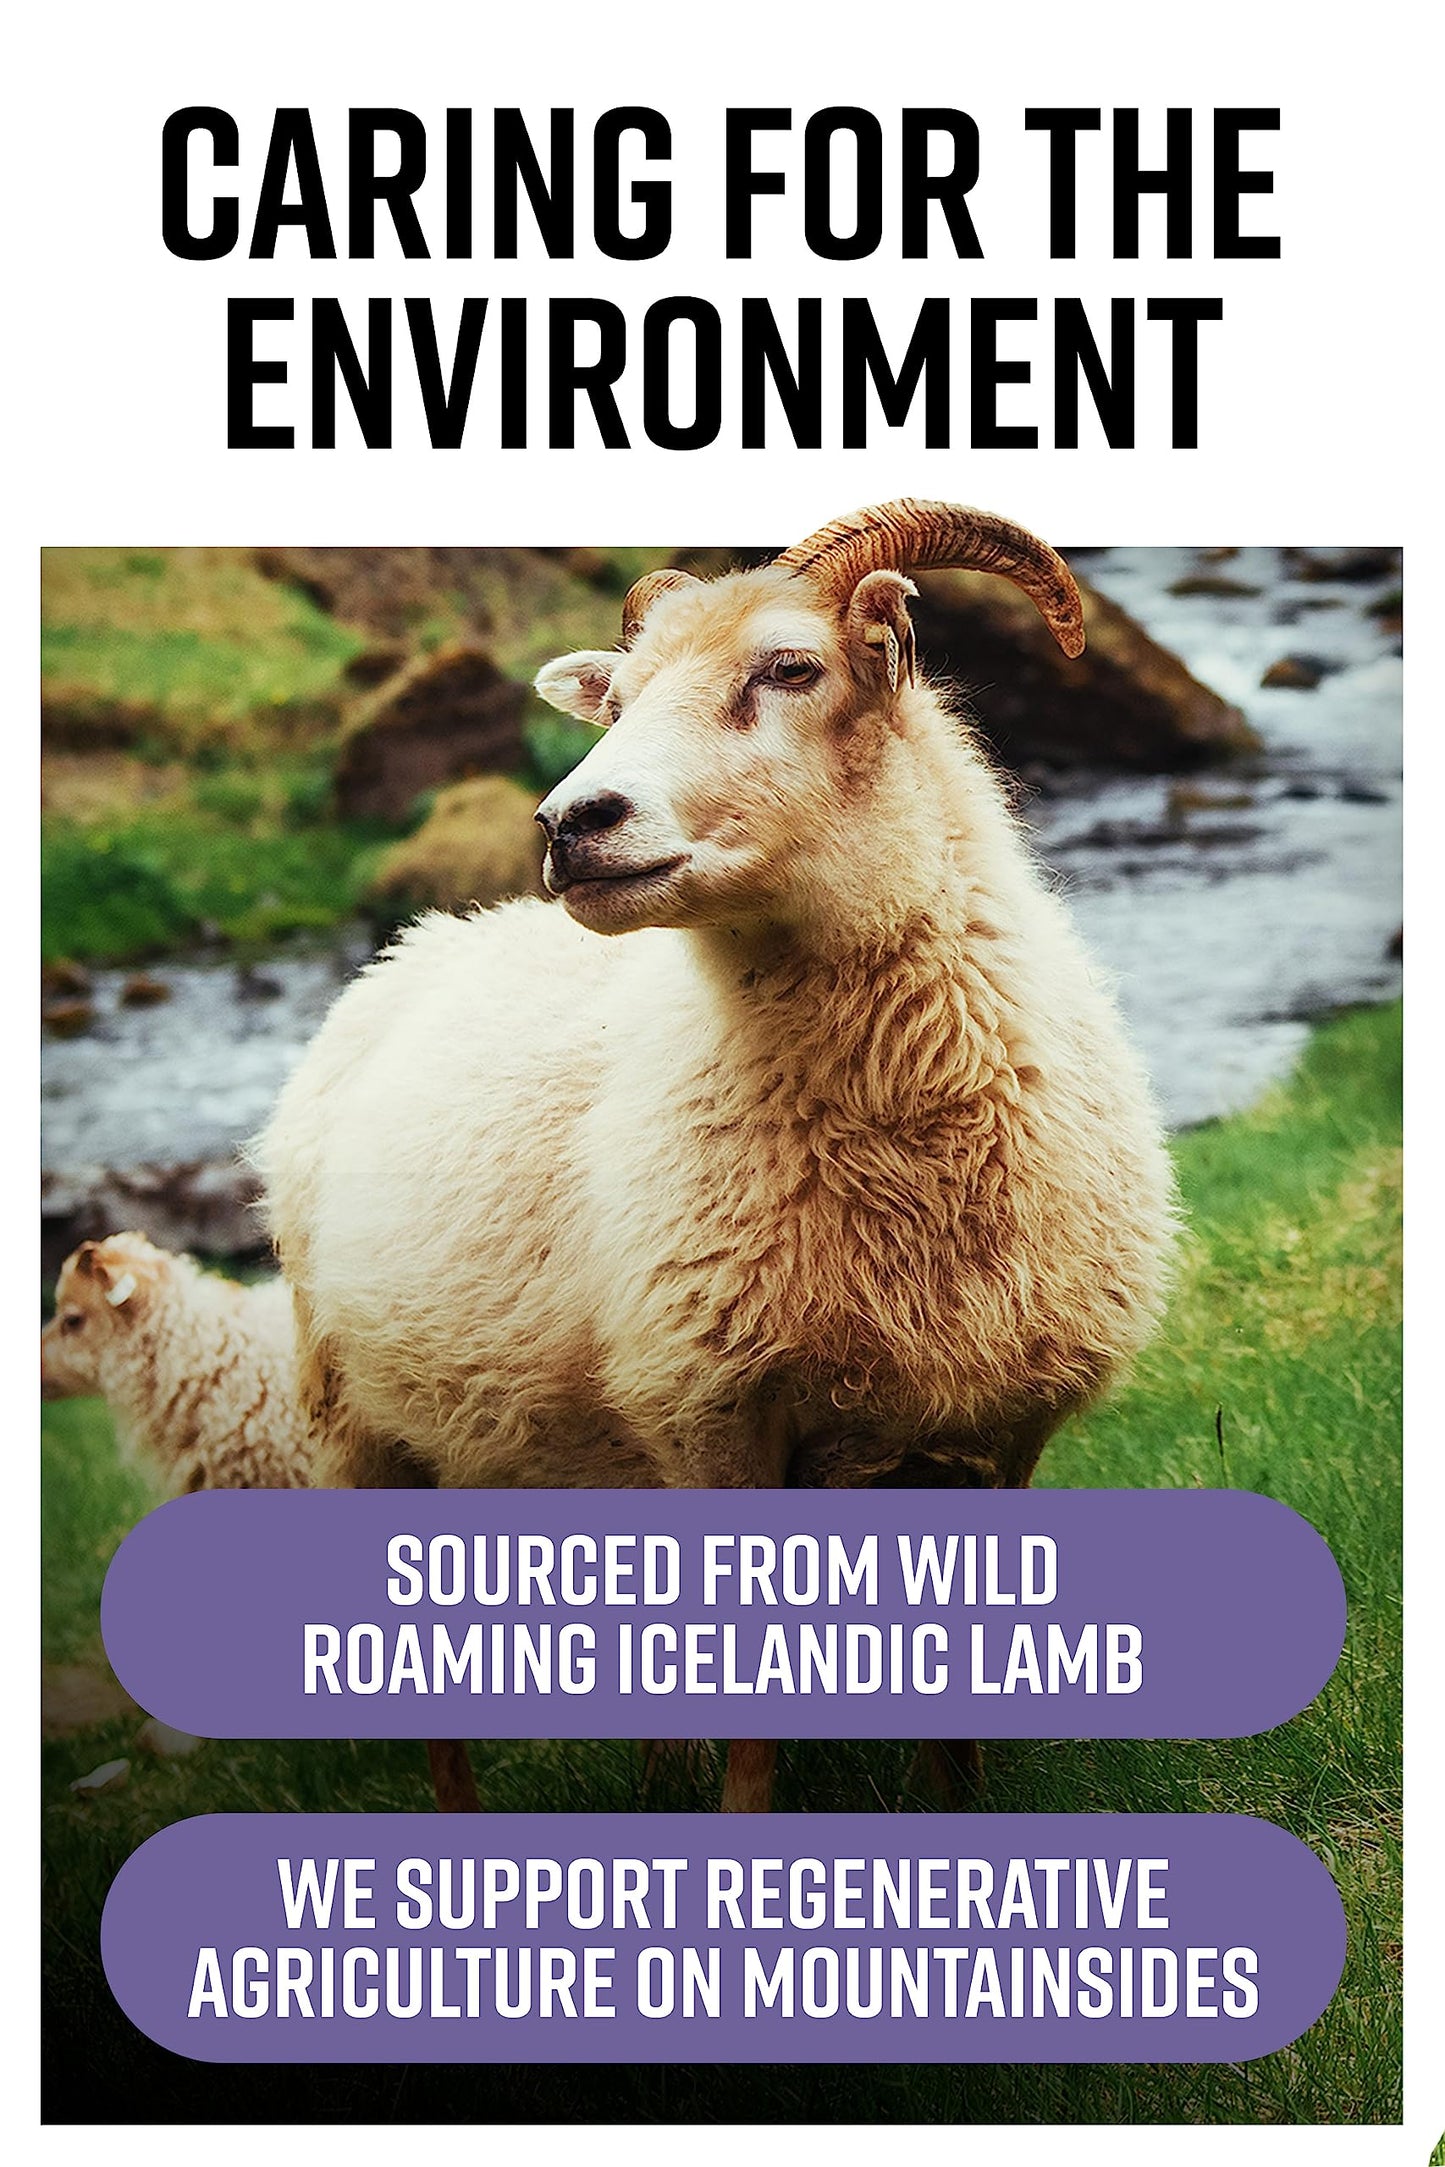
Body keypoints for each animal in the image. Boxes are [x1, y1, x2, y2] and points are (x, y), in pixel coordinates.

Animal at [257, 499, 1177, 1812]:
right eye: (618, 698)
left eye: (790, 668)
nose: (567, 825)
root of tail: (418, 944)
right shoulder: (712, 1417)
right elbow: (752, 1740)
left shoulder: (1001, 1431)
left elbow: (954, 1736)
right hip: (361, 1424)